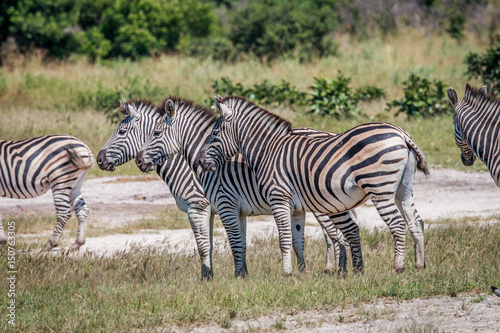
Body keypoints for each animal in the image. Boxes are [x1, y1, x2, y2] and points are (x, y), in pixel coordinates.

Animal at [95, 98, 350, 278]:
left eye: (121, 132)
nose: (98, 160)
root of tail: (330, 134)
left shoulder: (200, 206)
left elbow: (204, 245)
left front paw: (208, 277)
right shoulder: (220, 210)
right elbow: (218, 243)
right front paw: (220, 275)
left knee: (335, 233)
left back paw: (338, 270)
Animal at [200, 96, 430, 274]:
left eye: (215, 134)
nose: (201, 163)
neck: (267, 151)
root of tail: (401, 133)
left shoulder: (279, 198)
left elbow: (283, 238)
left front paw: (286, 274)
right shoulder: (294, 206)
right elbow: (295, 240)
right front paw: (298, 272)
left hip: (380, 188)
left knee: (397, 224)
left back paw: (398, 267)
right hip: (403, 189)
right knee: (415, 222)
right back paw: (419, 266)